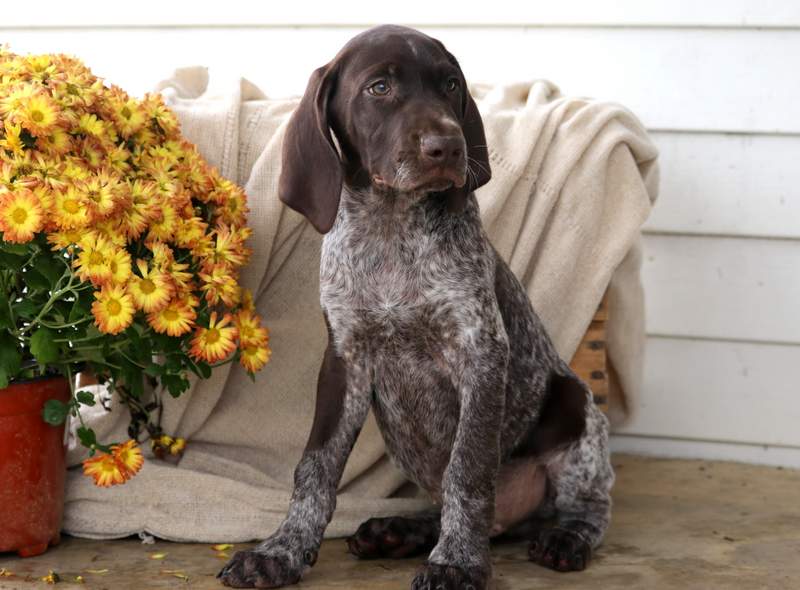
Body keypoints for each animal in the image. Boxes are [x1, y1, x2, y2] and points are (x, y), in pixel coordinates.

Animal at [219, 24, 612, 590]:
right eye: (379, 88)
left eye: (451, 85)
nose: (447, 146)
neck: (390, 229)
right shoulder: (345, 360)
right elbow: (315, 466)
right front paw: (281, 549)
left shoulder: (480, 353)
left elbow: (468, 470)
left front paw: (458, 562)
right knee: (442, 501)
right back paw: (399, 530)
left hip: (576, 409)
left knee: (586, 504)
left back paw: (565, 536)